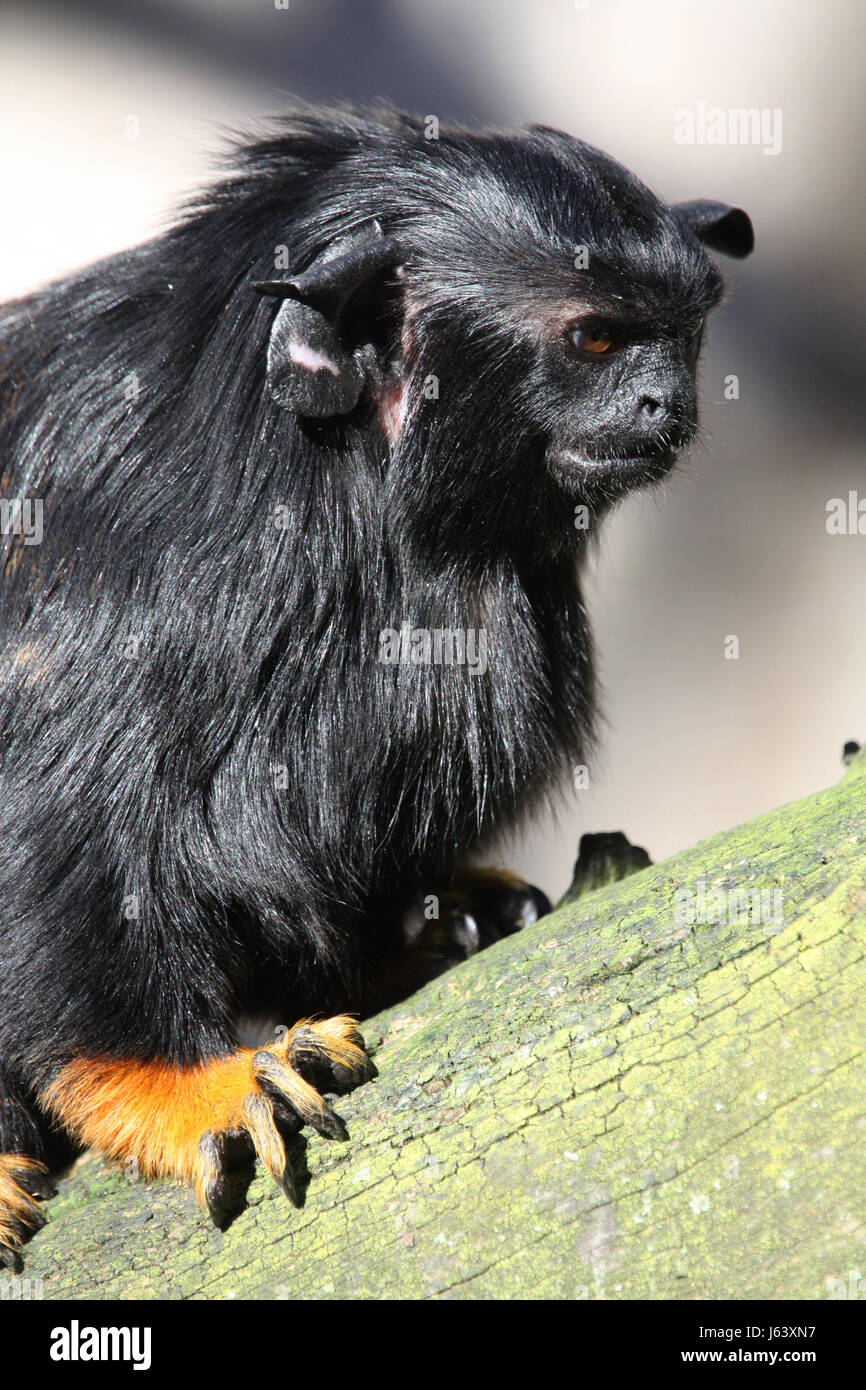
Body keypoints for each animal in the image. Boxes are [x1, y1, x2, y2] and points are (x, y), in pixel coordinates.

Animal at [0, 103, 752, 1270]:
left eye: (680, 336)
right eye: (593, 337)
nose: (663, 401)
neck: (347, 495)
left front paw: (418, 929)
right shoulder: (145, 562)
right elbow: (57, 812)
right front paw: (184, 1082)